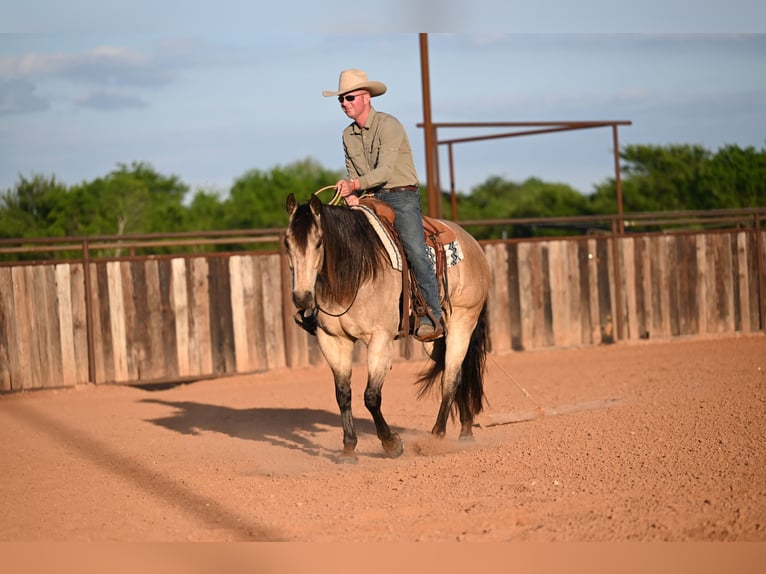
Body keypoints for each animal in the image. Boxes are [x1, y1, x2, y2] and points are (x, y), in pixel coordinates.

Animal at [284, 192, 490, 462]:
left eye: (318, 243)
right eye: (287, 243)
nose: (302, 298)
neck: (355, 271)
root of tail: (473, 243)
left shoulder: (379, 338)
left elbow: (371, 396)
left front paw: (391, 443)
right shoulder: (332, 339)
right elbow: (343, 394)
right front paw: (348, 449)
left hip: (463, 323)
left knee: (451, 378)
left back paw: (436, 437)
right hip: (436, 340)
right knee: (457, 373)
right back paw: (465, 431)